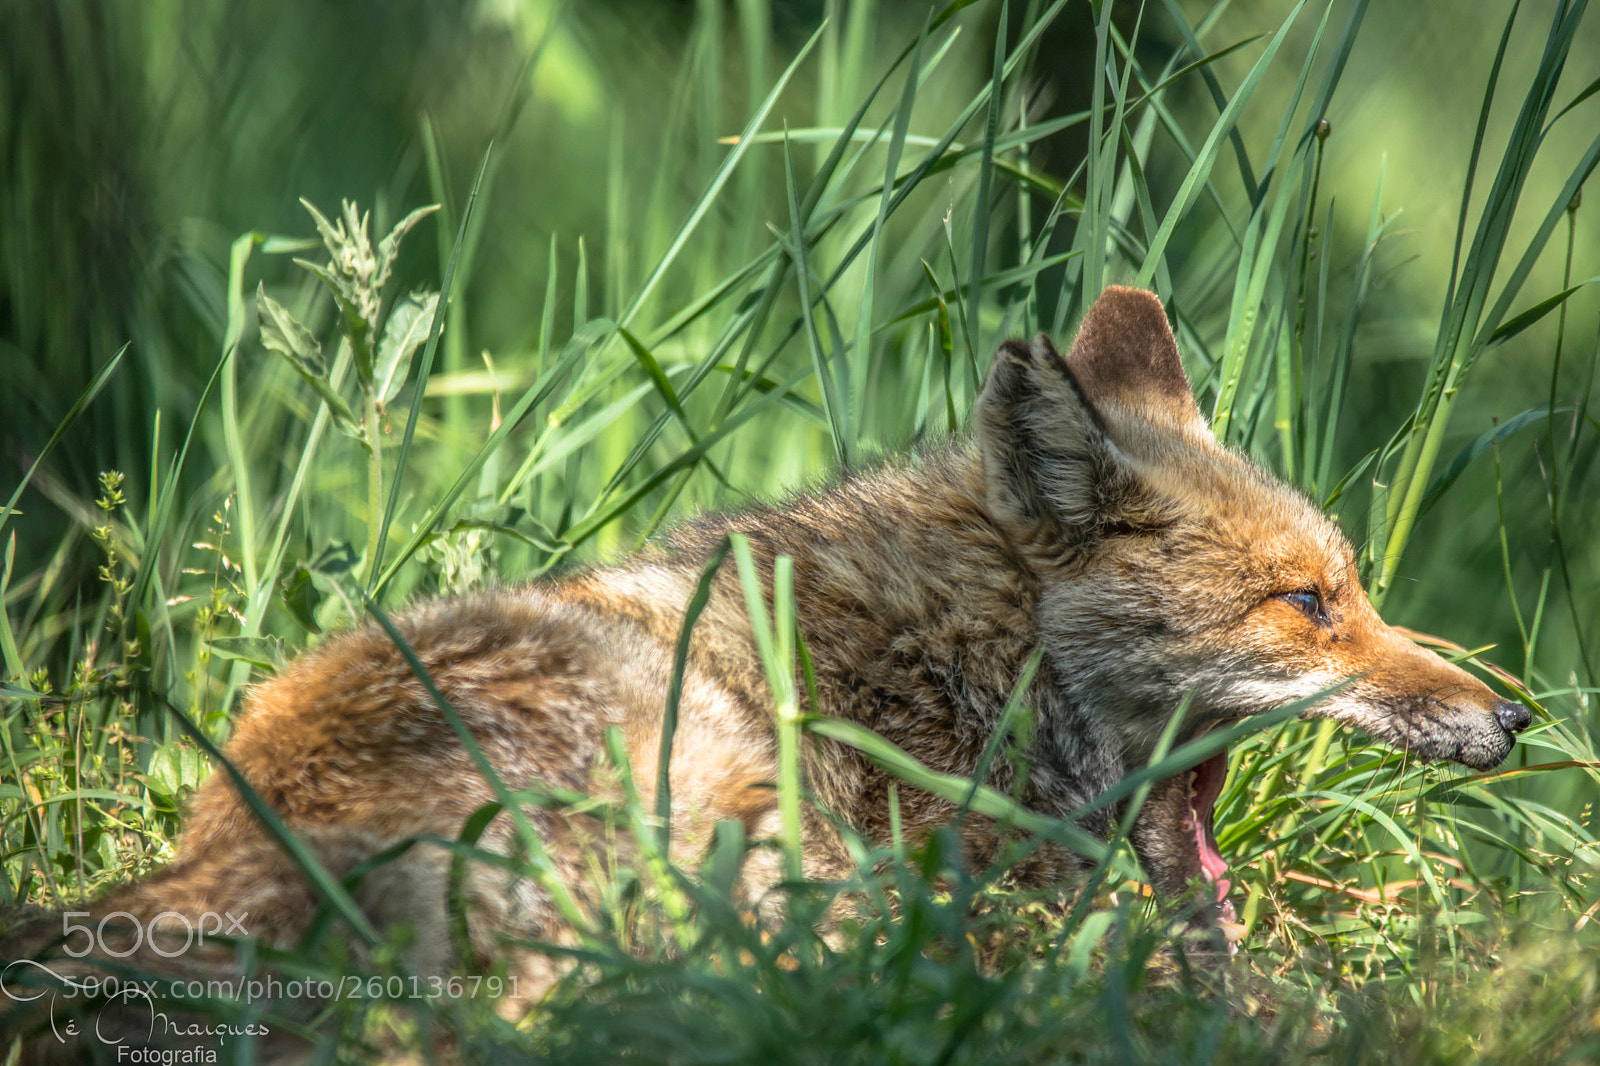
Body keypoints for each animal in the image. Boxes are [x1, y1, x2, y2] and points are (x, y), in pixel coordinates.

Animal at [2, 286, 1530, 1059]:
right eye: (1308, 603)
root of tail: (258, 851)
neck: (962, 663)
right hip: (732, 811)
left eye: (1355, 588)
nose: (1514, 717)